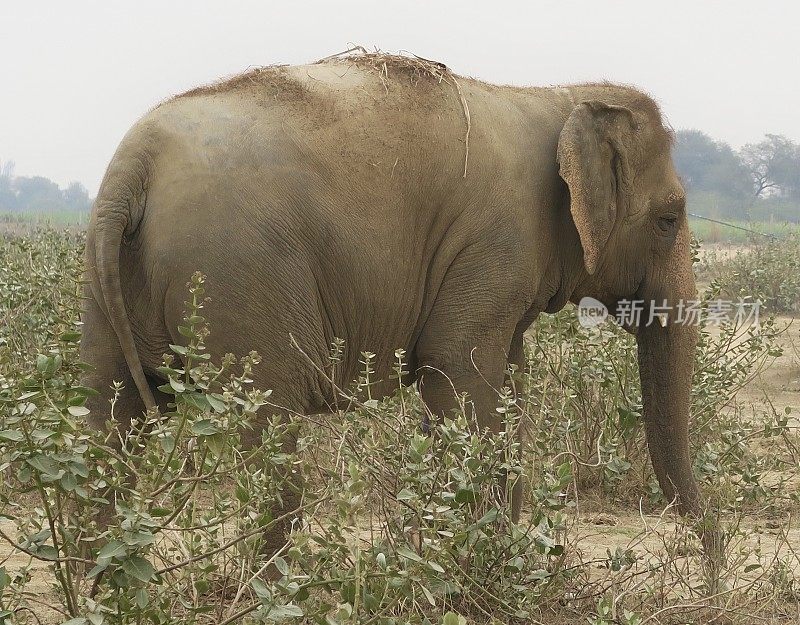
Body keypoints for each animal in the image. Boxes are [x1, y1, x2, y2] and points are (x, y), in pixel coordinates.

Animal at [81, 54, 712, 556]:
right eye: (670, 217)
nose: (709, 571)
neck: (555, 95)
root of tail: (134, 166)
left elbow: (502, 380)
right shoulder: (494, 239)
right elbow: (457, 369)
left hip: (105, 277)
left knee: (106, 429)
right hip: (236, 276)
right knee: (270, 444)